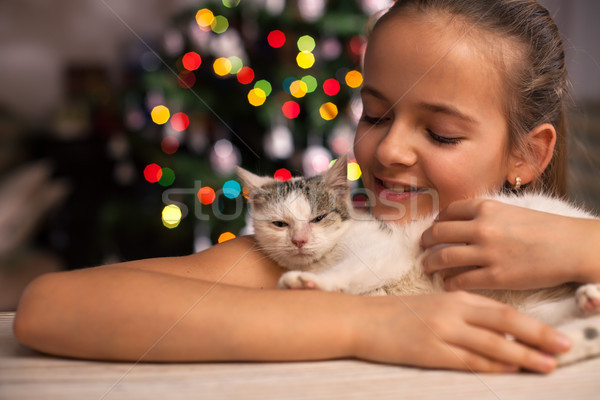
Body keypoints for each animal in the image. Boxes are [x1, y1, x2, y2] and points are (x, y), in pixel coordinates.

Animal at [237, 155, 600, 366]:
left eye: (318, 218)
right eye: (279, 225)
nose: (299, 241)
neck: (326, 256)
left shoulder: (383, 251)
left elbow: (350, 271)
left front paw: (310, 282)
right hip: (530, 309)